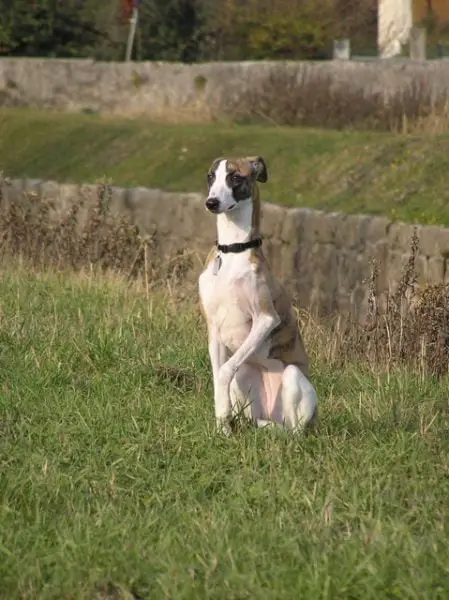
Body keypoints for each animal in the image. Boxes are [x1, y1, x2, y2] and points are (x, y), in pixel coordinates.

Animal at [198, 155, 316, 436]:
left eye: (235, 177)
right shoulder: (213, 328)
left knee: (296, 432)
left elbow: (223, 371)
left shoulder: (265, 318)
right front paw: (222, 426)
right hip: (245, 377)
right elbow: (218, 376)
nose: (211, 202)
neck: (232, 251)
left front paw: (224, 424)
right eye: (211, 176)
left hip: (293, 376)